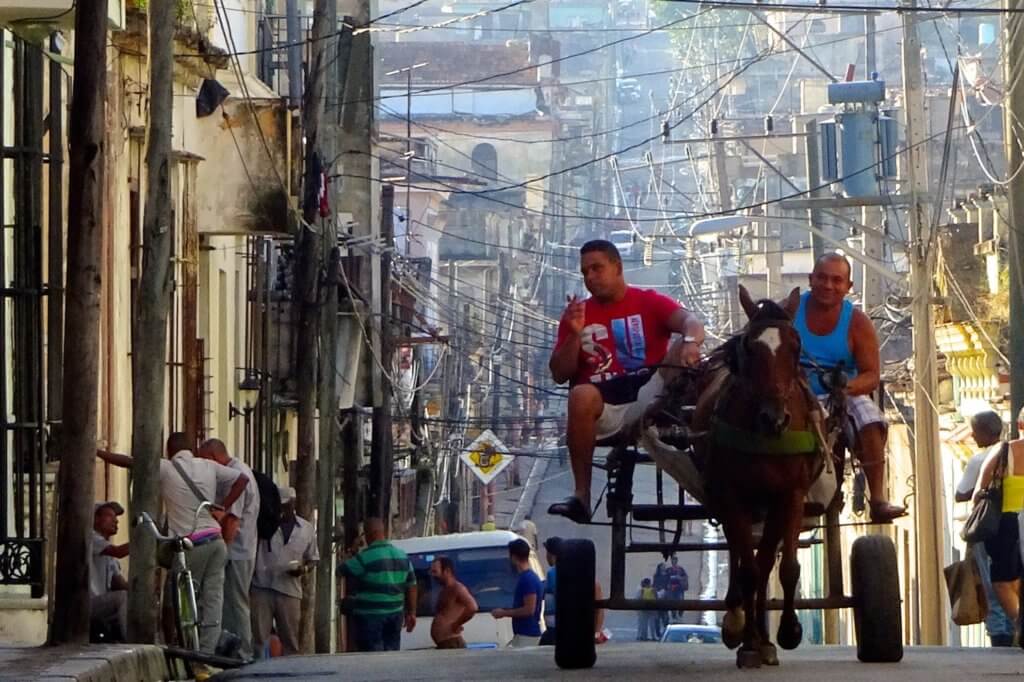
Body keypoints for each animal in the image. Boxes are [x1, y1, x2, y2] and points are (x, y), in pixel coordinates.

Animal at [696, 284, 823, 667]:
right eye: (749, 347)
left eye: (795, 346)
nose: (774, 418)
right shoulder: (732, 494)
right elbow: (749, 569)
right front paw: (748, 641)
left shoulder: (790, 495)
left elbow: (784, 567)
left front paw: (786, 633)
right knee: (740, 556)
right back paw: (738, 620)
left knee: (762, 559)